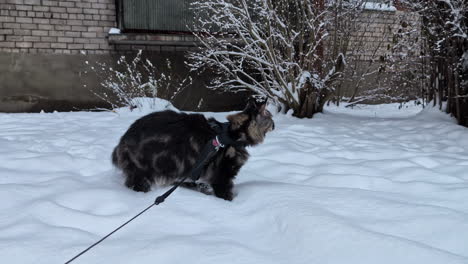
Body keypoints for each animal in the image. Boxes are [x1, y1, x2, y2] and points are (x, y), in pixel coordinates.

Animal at [111, 99, 274, 200]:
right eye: (271, 118)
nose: (274, 125)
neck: (232, 134)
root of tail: (123, 139)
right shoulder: (223, 173)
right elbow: (224, 192)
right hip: (143, 171)